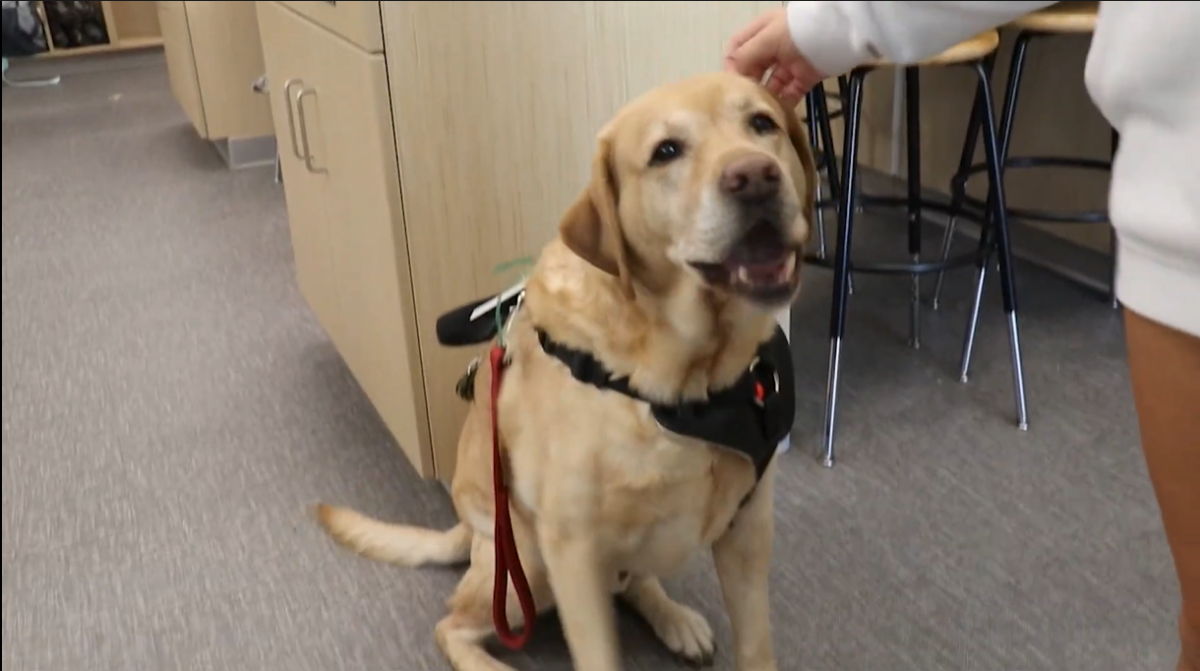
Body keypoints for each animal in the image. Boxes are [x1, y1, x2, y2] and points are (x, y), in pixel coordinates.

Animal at [316, 73, 816, 671]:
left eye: (762, 123)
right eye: (666, 151)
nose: (755, 177)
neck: (685, 383)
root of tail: (466, 528)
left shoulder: (748, 531)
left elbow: (756, 645)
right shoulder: (572, 551)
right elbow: (598, 654)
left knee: (632, 581)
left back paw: (674, 618)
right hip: (525, 566)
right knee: (450, 624)